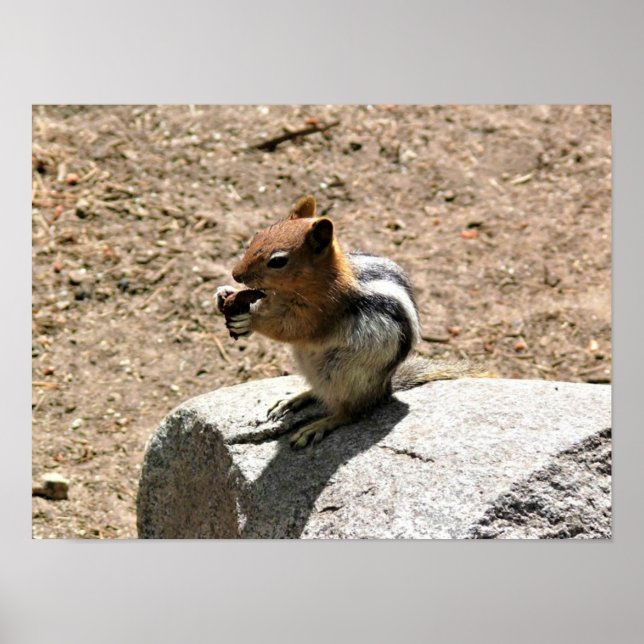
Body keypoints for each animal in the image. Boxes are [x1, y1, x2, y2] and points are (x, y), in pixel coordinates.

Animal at [216, 195, 482, 448]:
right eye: (257, 236)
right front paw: (224, 293)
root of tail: (384, 390)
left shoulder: (319, 313)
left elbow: (289, 329)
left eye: (278, 261)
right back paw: (295, 399)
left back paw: (317, 426)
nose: (235, 274)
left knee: (349, 413)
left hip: (344, 376)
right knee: (320, 393)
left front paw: (249, 320)